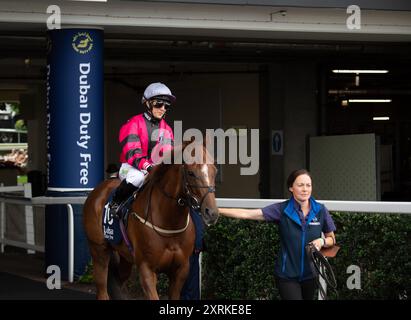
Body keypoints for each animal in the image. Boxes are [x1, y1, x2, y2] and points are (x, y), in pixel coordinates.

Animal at [82, 144, 220, 298]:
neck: (170, 225)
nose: (211, 212)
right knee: (102, 288)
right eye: (191, 173)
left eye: (214, 171)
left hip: (124, 257)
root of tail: (97, 191)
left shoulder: (181, 270)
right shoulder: (146, 269)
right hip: (98, 249)